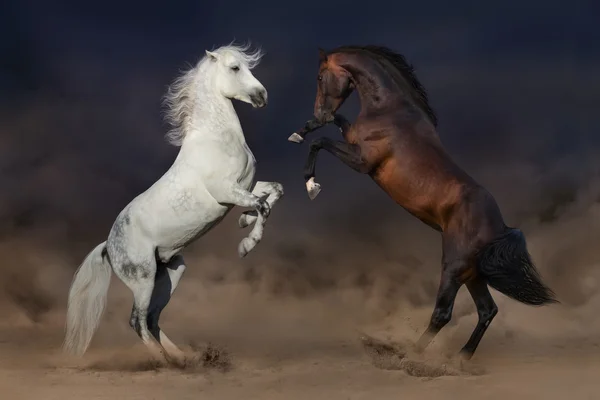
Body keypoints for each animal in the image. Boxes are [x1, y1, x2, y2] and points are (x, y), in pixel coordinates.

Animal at [63, 43, 284, 366]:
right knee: (137, 320)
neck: (216, 139)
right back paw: (165, 361)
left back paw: (182, 358)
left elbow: (274, 192)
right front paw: (246, 245)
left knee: (153, 319)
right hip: (142, 278)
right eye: (234, 68)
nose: (261, 96)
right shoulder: (226, 192)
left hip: (170, 273)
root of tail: (108, 245)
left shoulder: (243, 187)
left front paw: (244, 221)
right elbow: (263, 206)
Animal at [288, 46, 556, 360]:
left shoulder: (361, 161)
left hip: (453, 267)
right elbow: (334, 124)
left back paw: (411, 356)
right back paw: (460, 358)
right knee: (487, 310)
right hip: (472, 273)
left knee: (443, 314)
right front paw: (302, 130)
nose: (319, 110)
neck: (389, 109)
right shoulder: (351, 138)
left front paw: (311, 184)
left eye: (320, 77)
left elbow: (319, 143)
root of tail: (499, 227)